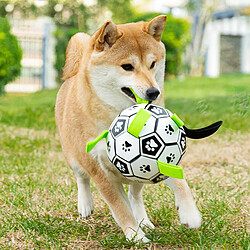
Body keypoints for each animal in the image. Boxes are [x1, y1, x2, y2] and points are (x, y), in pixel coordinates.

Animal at [54, 15, 201, 242]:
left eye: (152, 64)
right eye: (127, 66)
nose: (154, 92)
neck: (118, 114)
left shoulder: (164, 154)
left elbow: (180, 181)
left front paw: (190, 213)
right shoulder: (99, 171)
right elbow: (120, 208)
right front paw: (135, 235)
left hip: (139, 172)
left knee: (134, 194)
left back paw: (143, 220)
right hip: (74, 157)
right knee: (82, 178)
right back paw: (85, 204)